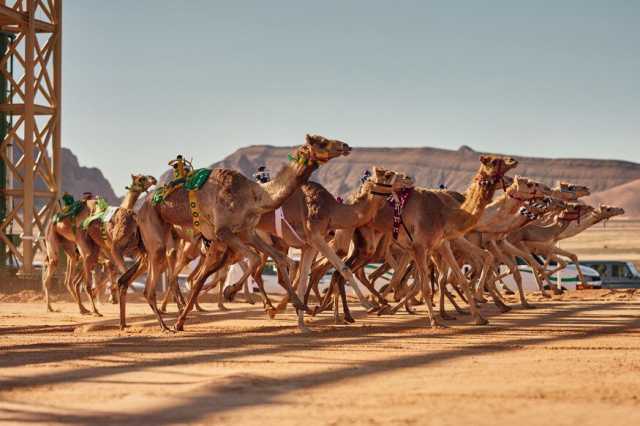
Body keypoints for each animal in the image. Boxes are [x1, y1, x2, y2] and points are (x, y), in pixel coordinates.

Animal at [117, 135, 352, 332]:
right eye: (321, 141)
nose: (345, 146)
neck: (254, 196)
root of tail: (140, 209)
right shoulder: (224, 232)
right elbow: (254, 259)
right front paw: (232, 292)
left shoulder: (247, 232)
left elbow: (278, 259)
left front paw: (297, 304)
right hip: (157, 233)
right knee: (161, 279)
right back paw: (166, 324)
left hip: (163, 236)